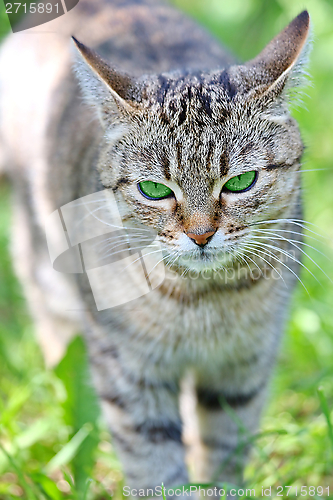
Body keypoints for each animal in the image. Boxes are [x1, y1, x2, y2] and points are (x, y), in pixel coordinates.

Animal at [0, 0, 308, 494]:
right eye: (154, 190)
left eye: (240, 182)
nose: (201, 235)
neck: (203, 300)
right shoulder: (129, 372)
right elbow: (155, 465)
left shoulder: (244, 367)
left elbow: (222, 454)